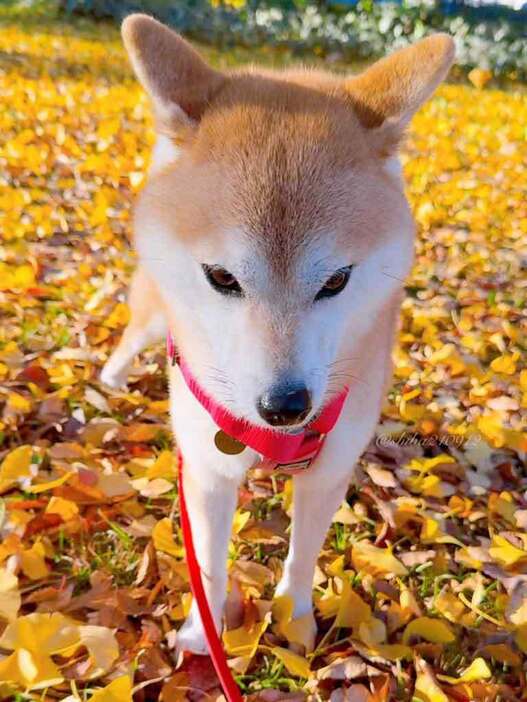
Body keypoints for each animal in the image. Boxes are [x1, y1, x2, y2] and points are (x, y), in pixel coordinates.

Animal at [101, 13, 456, 656]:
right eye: (221, 277)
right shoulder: (207, 468)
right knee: (132, 334)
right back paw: (109, 379)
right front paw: (204, 635)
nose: (285, 406)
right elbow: (210, 566)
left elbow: (302, 557)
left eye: (337, 280)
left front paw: (293, 623)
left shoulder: (330, 468)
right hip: (154, 315)